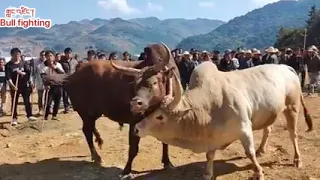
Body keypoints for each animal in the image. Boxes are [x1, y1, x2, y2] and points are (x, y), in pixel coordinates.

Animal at [42, 43, 181, 178]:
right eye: (134, 84)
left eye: (154, 82)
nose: (135, 104)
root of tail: (72, 75)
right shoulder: (134, 123)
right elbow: (133, 148)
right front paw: (126, 170)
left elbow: (165, 143)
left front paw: (167, 162)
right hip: (85, 112)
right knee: (86, 131)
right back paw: (97, 157)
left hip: (94, 113)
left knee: (90, 129)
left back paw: (98, 144)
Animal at [134, 61, 312, 179]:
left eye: (160, 116)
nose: (136, 128)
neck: (208, 106)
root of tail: (285, 67)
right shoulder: (213, 137)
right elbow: (210, 155)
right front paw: (207, 174)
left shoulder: (244, 128)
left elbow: (249, 152)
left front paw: (259, 172)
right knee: (268, 129)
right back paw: (262, 149)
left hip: (292, 107)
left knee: (293, 134)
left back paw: (297, 159)